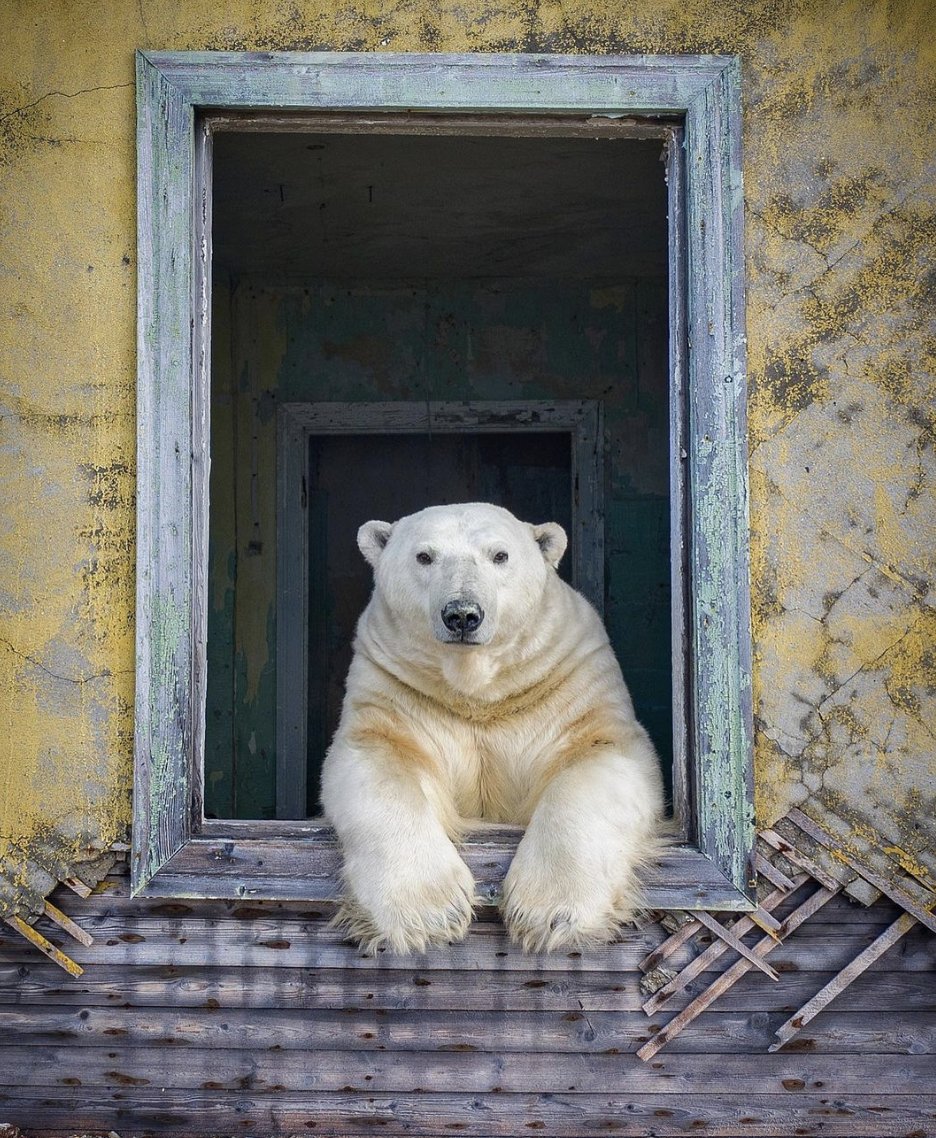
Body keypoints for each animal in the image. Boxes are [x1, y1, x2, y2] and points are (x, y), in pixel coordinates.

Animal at [320, 502, 664, 954]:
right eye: (424, 556)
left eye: (500, 555)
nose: (462, 614)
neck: (479, 693)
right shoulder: (396, 689)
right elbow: (378, 760)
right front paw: (429, 913)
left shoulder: (568, 681)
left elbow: (599, 756)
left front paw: (549, 913)